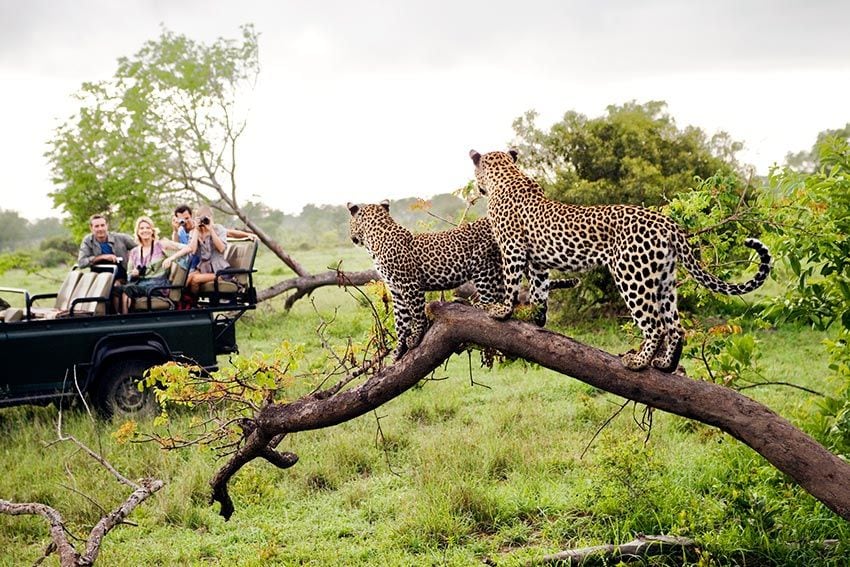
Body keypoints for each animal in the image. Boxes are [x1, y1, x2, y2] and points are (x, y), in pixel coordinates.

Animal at [346, 201, 576, 360]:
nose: (351, 238)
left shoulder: (410, 285)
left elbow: (416, 314)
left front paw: (416, 337)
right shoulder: (396, 290)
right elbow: (400, 321)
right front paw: (398, 350)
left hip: (484, 267)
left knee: (492, 301)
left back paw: (470, 304)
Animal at [468, 149, 772, 374]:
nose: (478, 188)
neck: (507, 175)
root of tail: (668, 223)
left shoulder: (512, 249)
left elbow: (511, 282)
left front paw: (502, 311)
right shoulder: (539, 262)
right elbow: (539, 290)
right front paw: (538, 318)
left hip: (632, 276)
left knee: (656, 325)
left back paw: (638, 362)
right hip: (663, 279)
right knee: (675, 326)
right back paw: (665, 364)